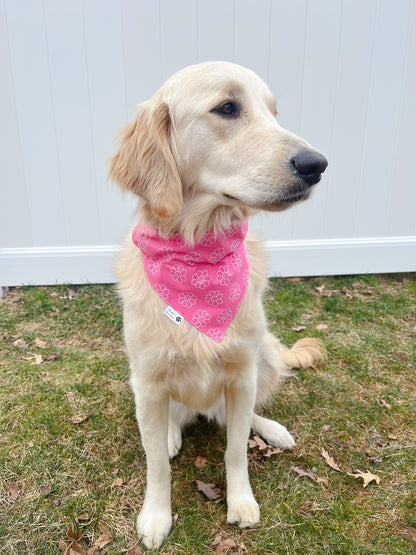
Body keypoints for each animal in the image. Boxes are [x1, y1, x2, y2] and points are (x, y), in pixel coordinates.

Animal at [109, 62, 328, 552]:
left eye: (273, 112)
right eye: (227, 108)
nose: (317, 165)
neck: (198, 253)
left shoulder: (242, 374)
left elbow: (234, 450)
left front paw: (240, 501)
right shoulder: (147, 380)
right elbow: (156, 463)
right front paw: (156, 515)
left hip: (265, 355)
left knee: (240, 418)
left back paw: (270, 428)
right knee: (172, 425)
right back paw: (172, 434)